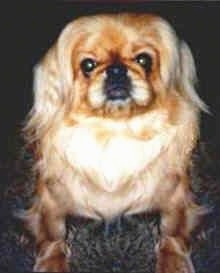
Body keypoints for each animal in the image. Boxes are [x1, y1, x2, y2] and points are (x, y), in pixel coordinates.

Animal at [21, 13, 206, 272]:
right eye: (88, 65)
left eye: (143, 60)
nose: (117, 70)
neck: (115, 130)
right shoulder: (52, 196)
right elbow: (53, 235)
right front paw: (52, 262)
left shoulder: (174, 193)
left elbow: (172, 231)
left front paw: (174, 261)